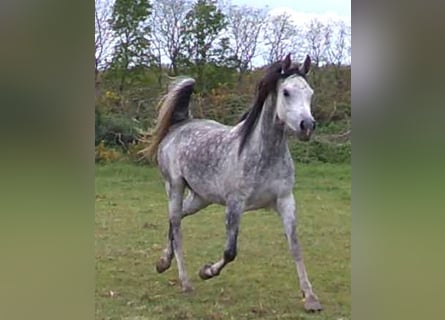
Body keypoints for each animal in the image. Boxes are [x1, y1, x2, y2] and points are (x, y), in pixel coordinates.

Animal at [143, 53, 322, 312]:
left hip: (200, 198)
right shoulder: (235, 204)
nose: (307, 126)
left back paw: (162, 262)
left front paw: (310, 297)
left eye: (310, 92)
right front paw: (206, 271)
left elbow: (295, 246)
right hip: (174, 187)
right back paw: (185, 282)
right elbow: (230, 252)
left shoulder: (286, 200)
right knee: (176, 226)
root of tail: (181, 124)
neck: (263, 153)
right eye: (286, 92)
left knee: (174, 220)